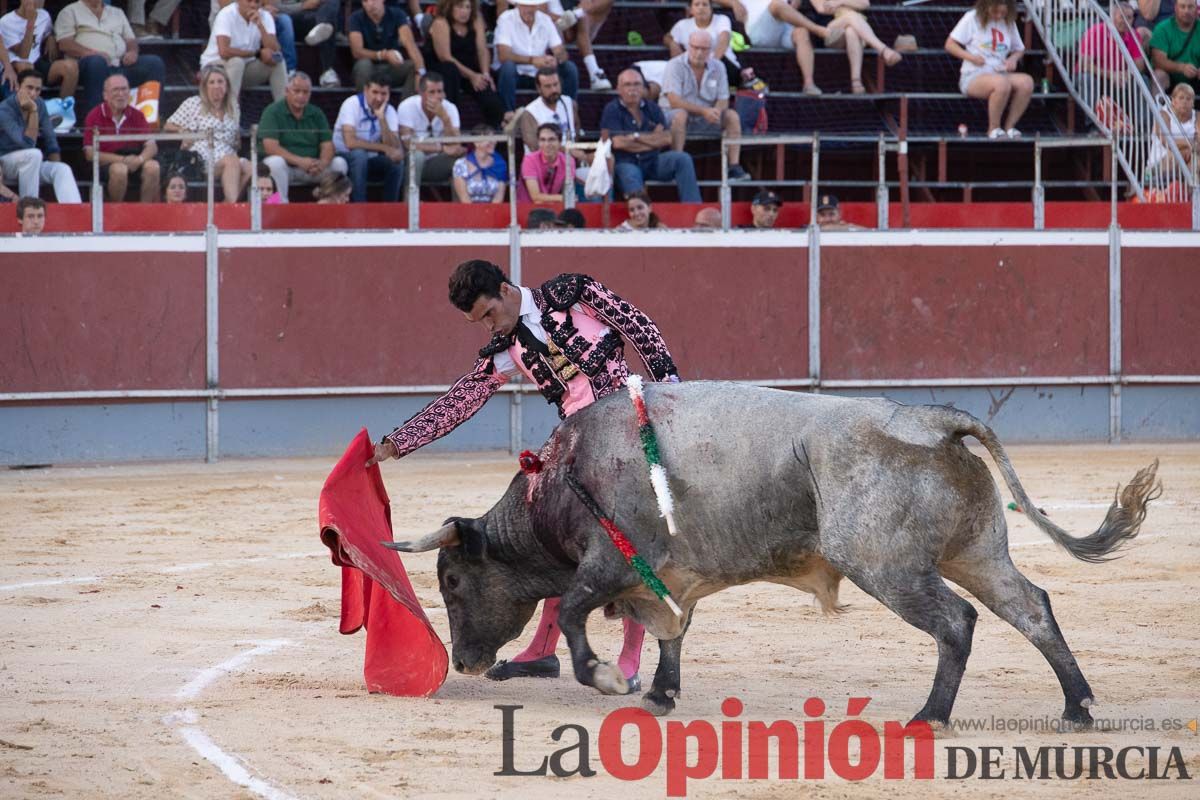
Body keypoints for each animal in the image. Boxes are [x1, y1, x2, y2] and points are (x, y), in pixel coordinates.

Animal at [384, 383, 1152, 729]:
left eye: (451, 579)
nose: (465, 662)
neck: (566, 473)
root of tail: (935, 419)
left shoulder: (608, 564)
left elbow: (574, 614)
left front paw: (607, 680)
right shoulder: (666, 578)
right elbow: (671, 632)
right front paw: (660, 693)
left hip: (888, 568)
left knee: (957, 623)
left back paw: (930, 715)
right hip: (977, 553)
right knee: (1032, 607)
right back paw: (1078, 706)